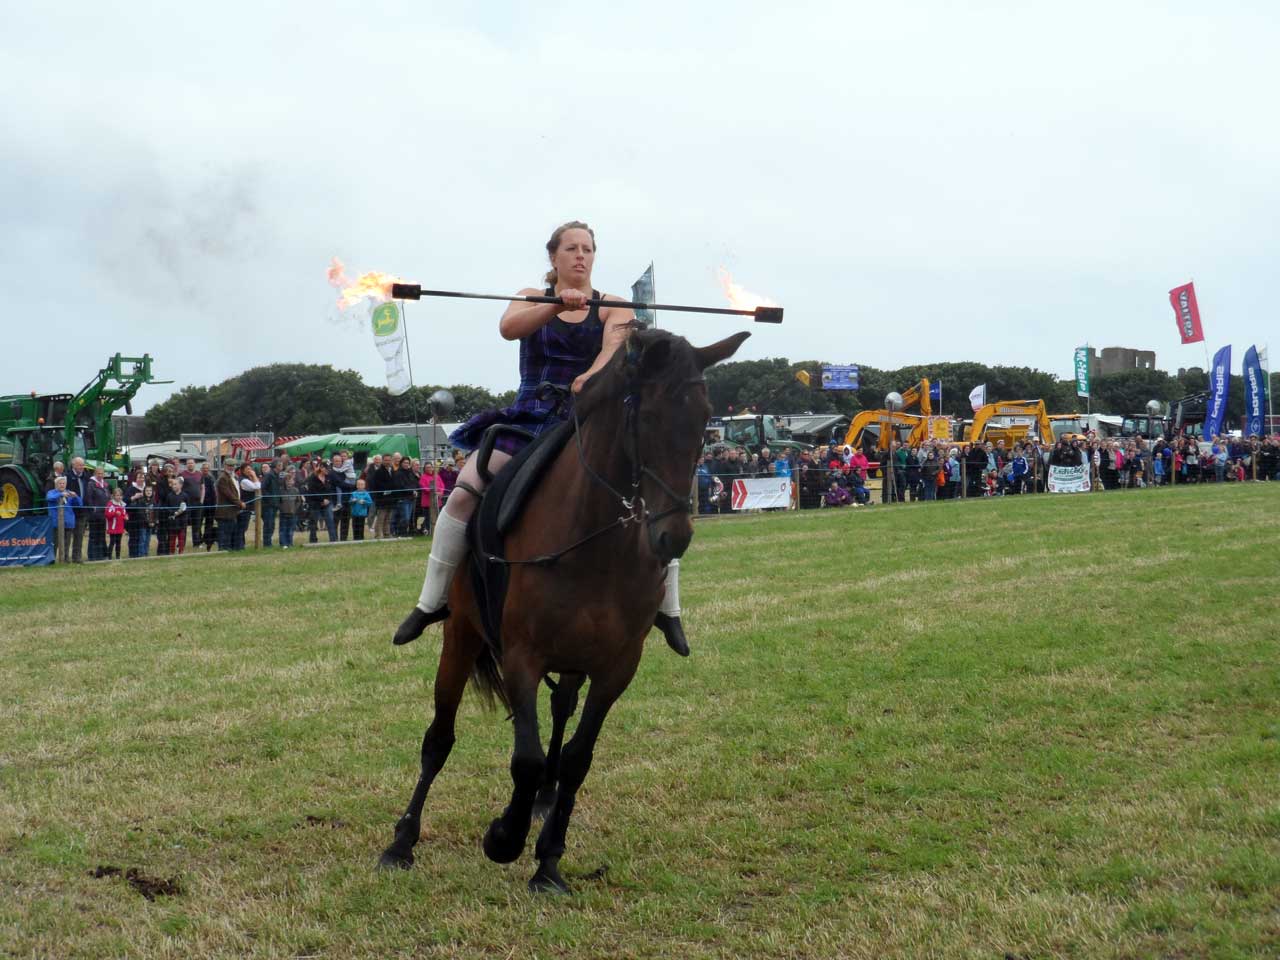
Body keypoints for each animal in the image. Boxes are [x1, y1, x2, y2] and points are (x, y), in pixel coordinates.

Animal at [373, 330, 747, 896]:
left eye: (705, 418)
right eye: (646, 416)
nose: (673, 537)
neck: (594, 542)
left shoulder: (616, 668)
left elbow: (575, 760)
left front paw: (548, 860)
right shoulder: (521, 656)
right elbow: (523, 760)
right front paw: (504, 838)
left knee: (558, 715)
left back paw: (542, 805)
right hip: (461, 635)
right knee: (439, 739)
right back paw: (401, 842)